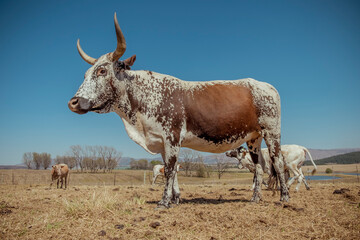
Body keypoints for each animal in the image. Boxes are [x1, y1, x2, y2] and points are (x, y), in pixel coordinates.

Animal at [68, 13, 290, 208]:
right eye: (86, 73)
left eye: (102, 70)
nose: (74, 102)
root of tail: (265, 85)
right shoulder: (162, 142)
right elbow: (172, 169)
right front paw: (175, 198)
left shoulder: (172, 137)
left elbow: (169, 170)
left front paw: (164, 202)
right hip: (253, 138)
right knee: (259, 168)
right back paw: (255, 198)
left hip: (272, 133)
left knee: (278, 162)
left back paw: (284, 198)